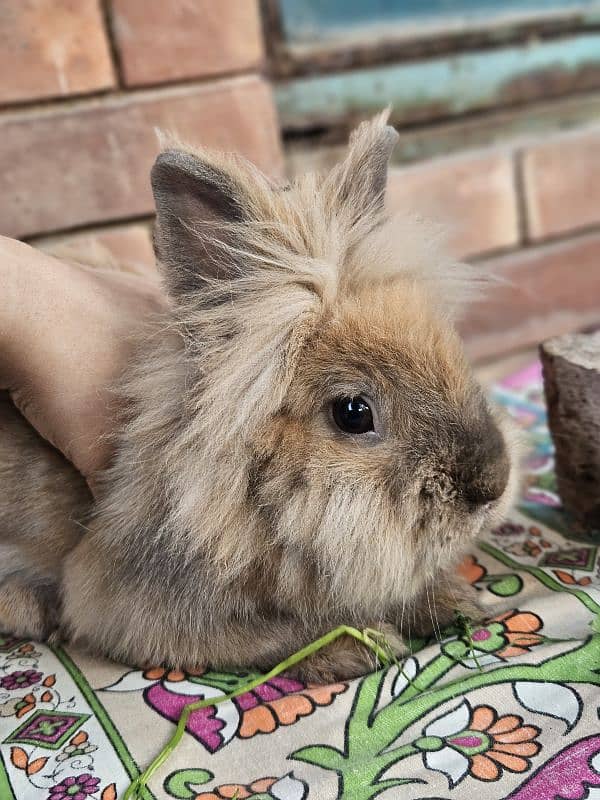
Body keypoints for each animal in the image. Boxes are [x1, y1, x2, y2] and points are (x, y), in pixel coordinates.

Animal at [0, 109, 516, 680]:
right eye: (353, 412)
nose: (492, 485)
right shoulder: (136, 604)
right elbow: (270, 631)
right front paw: (358, 646)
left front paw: (458, 600)